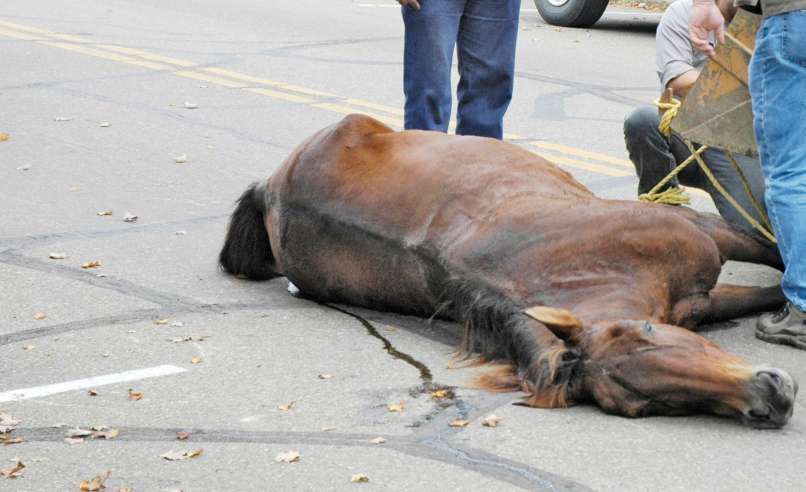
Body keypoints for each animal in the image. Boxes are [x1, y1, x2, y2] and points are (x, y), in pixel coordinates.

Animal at [218, 114, 800, 426]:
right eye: (645, 405)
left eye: (650, 332)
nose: (772, 397)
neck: (588, 264)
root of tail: (271, 186)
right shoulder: (702, 282)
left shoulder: (710, 241)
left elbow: (776, 269)